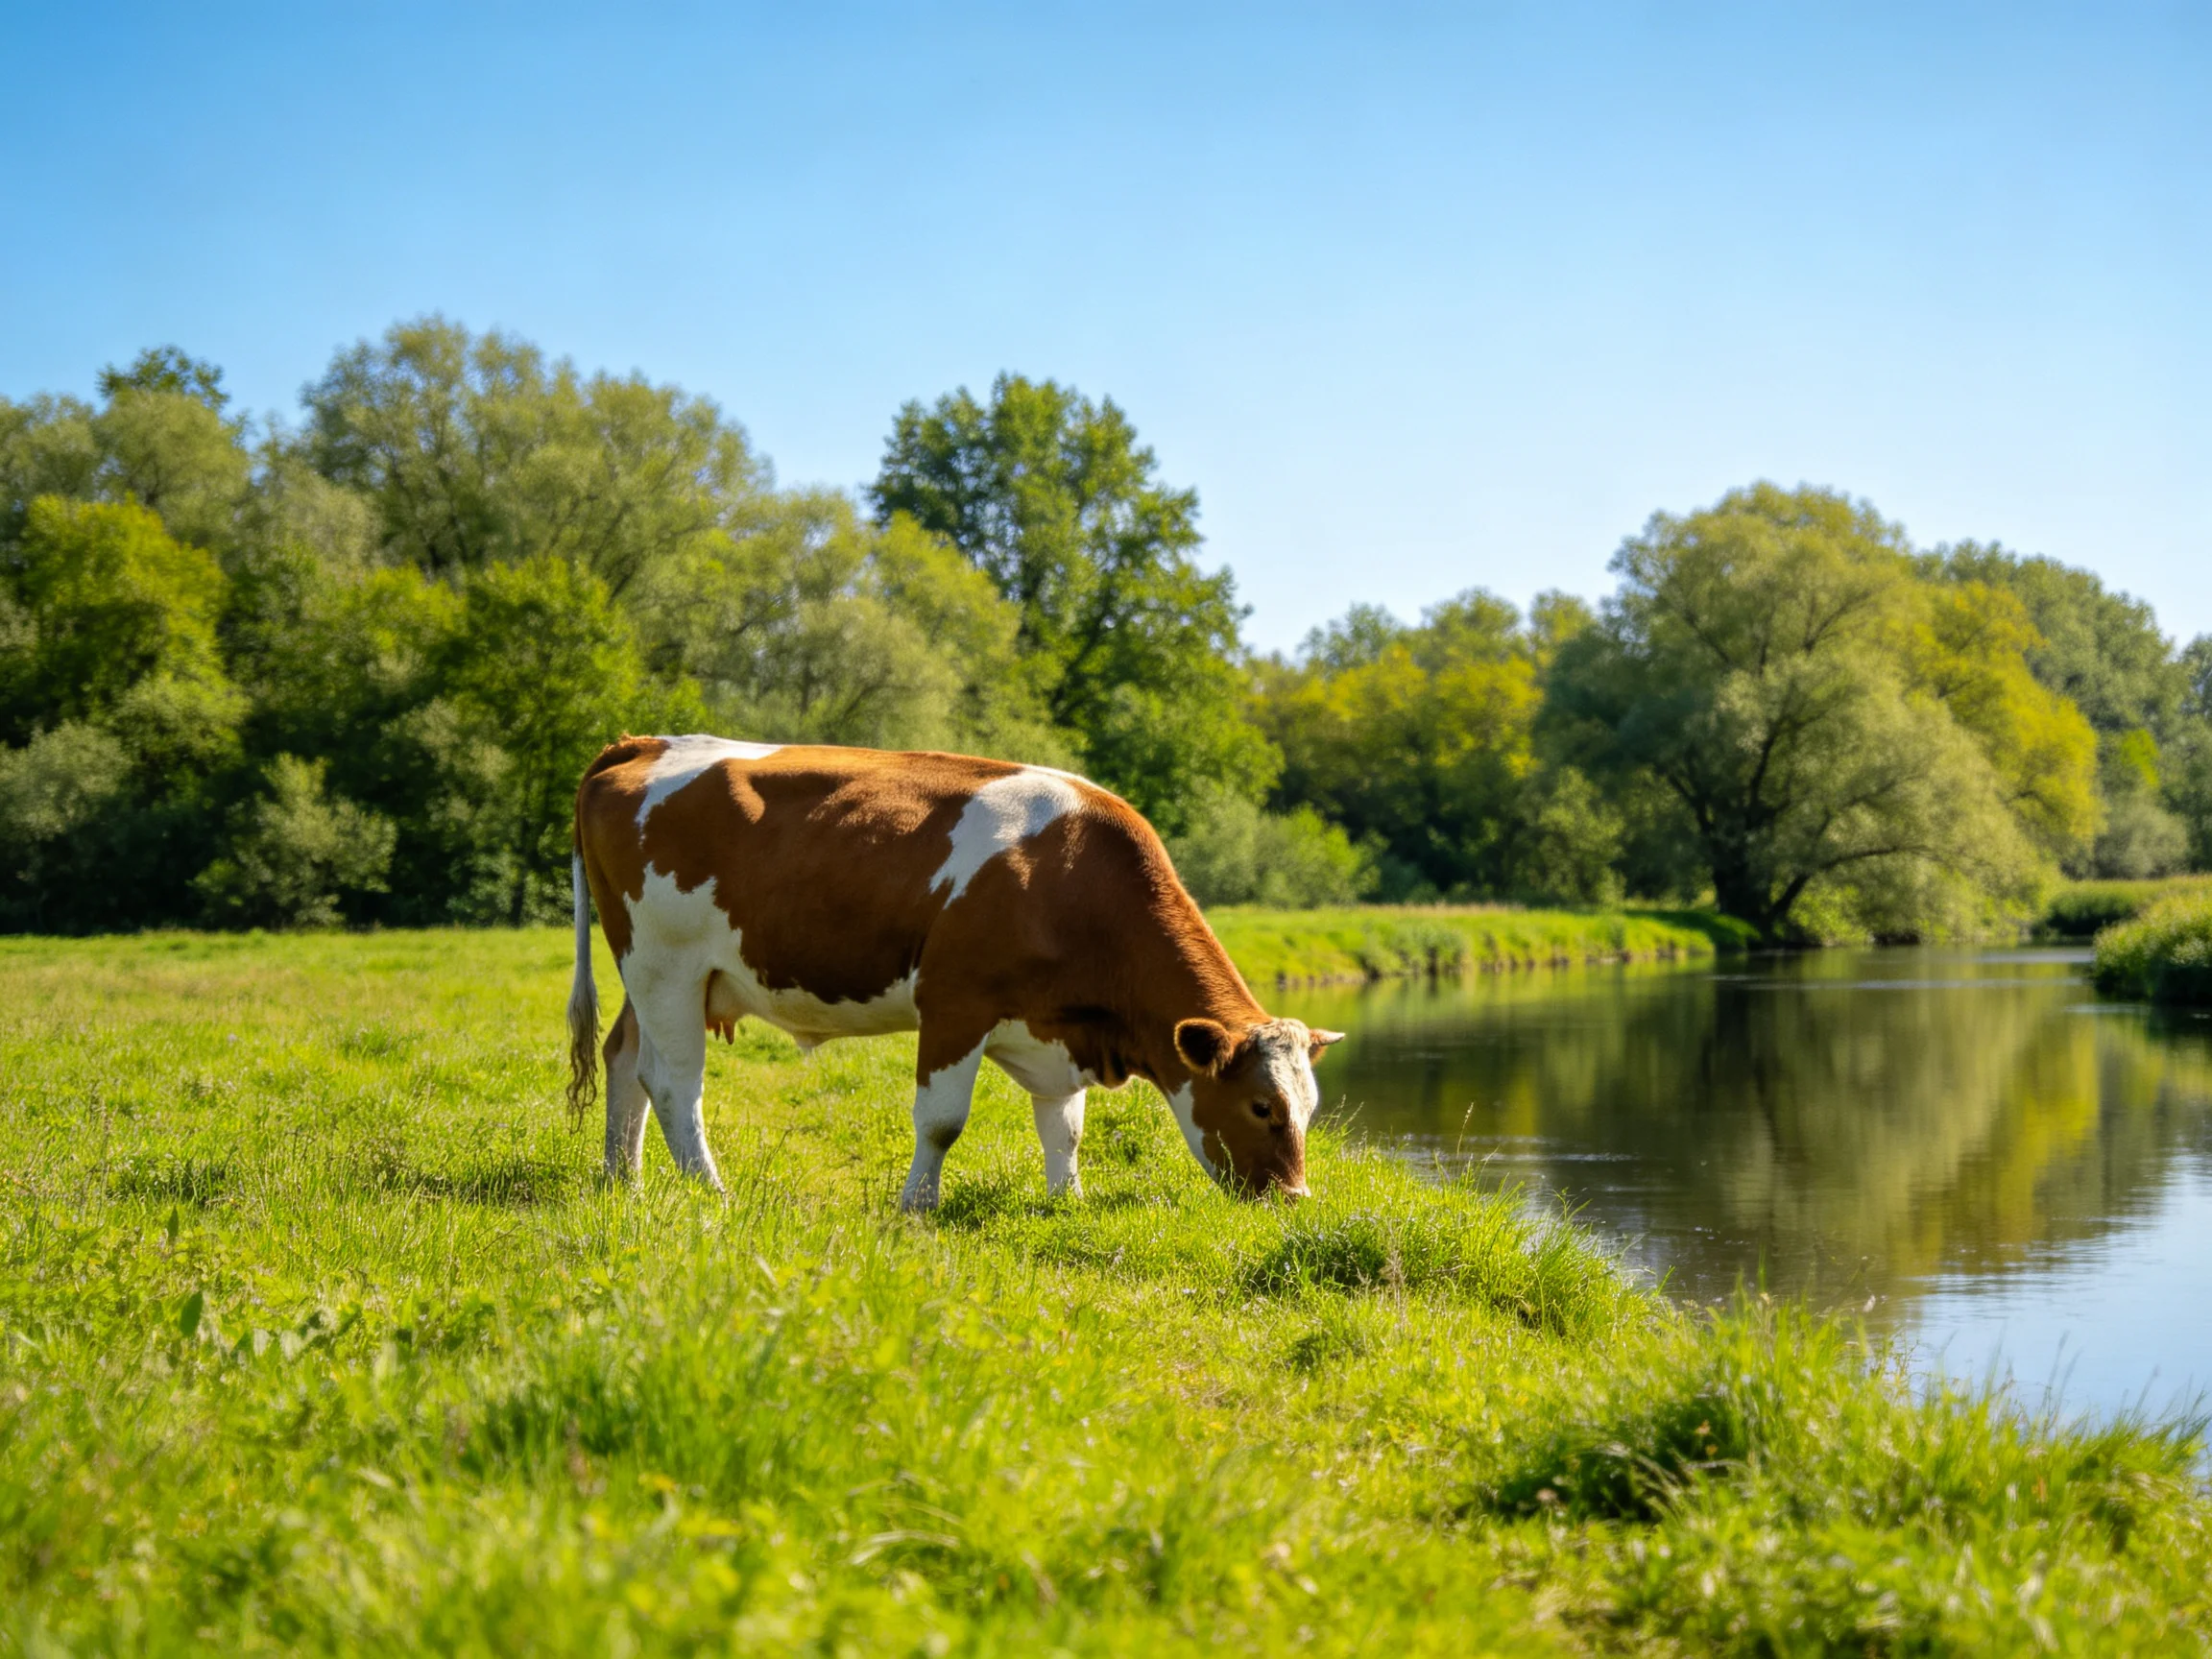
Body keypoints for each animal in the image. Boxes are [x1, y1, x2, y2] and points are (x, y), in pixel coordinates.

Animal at [566, 734, 1343, 1209]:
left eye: (1310, 1108)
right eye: (1262, 1106)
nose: (1294, 1199)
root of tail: (646, 743)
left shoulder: (1054, 1030)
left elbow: (1065, 1126)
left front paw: (1068, 1201)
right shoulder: (953, 1004)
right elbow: (941, 1121)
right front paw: (917, 1206)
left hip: (658, 974)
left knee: (623, 1056)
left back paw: (624, 1180)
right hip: (665, 964)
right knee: (672, 1080)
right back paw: (712, 1190)